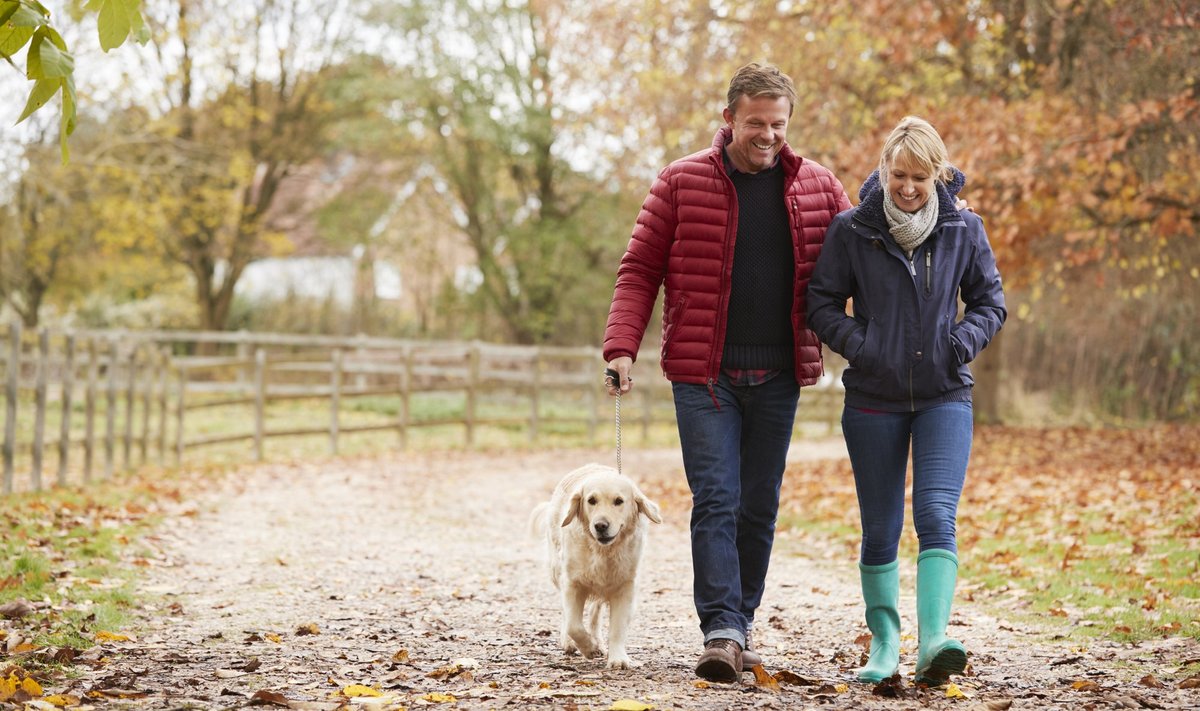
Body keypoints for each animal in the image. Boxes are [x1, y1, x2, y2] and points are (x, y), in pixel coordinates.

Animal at [532, 463, 667, 667]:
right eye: (591, 500)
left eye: (619, 501)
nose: (601, 525)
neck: (604, 551)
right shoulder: (572, 583)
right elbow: (573, 624)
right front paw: (588, 648)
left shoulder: (625, 587)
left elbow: (617, 628)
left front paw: (618, 658)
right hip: (556, 570)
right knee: (567, 614)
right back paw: (570, 643)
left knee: (595, 612)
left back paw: (598, 641)